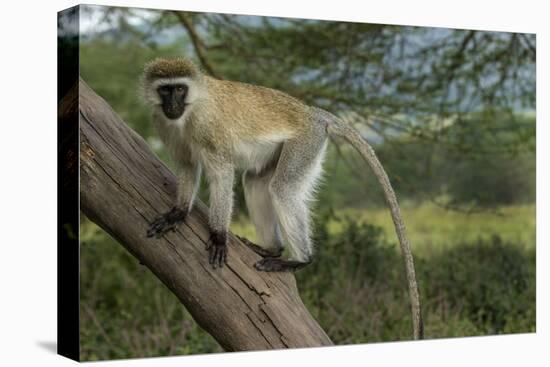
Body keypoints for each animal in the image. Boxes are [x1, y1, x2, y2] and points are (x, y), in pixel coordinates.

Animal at [143, 56, 426, 340]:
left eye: (180, 89)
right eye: (165, 90)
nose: (172, 104)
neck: (190, 110)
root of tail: (311, 112)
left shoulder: (209, 127)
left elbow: (222, 174)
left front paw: (219, 236)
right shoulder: (163, 123)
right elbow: (187, 165)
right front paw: (178, 213)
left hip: (305, 143)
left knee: (283, 188)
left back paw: (299, 260)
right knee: (255, 181)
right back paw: (272, 249)